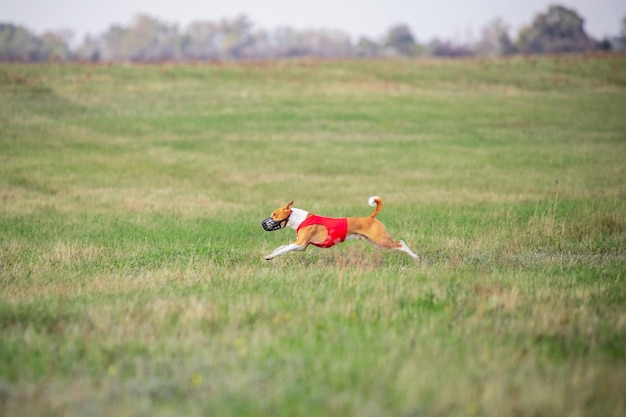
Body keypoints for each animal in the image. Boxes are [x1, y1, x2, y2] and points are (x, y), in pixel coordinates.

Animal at [260, 196, 420, 260]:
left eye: (274, 215)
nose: (262, 223)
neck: (300, 219)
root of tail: (371, 217)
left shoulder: (300, 244)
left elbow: (285, 249)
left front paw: (269, 256)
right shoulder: (301, 246)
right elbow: (283, 247)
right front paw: (274, 251)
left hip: (381, 241)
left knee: (401, 244)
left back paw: (416, 257)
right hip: (377, 244)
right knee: (399, 243)